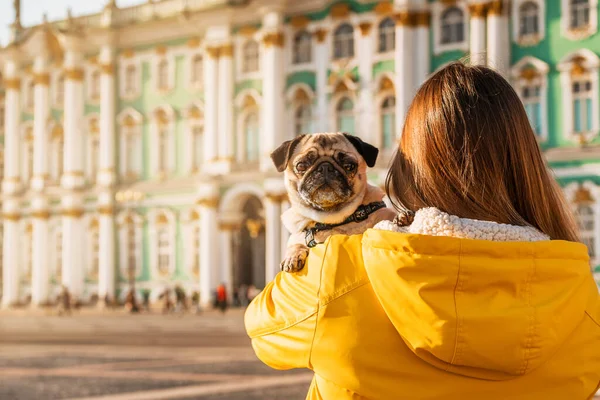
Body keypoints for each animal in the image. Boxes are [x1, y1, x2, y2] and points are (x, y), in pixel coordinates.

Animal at [270, 133, 394, 274]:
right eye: (301, 165)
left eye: (349, 166)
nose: (325, 167)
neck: (329, 222)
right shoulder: (297, 236)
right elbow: (295, 244)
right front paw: (292, 256)